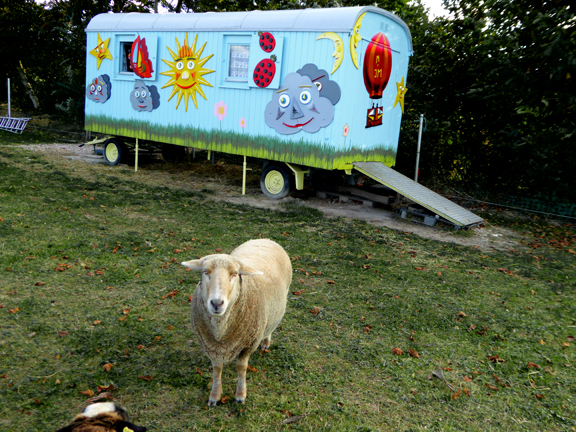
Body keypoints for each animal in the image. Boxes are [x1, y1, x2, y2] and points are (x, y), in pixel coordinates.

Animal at [181, 238, 292, 406]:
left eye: (234, 274)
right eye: (206, 272)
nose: (216, 303)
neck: (220, 332)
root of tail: (264, 239)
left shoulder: (249, 344)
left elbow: (241, 367)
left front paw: (240, 394)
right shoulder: (211, 347)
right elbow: (217, 369)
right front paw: (215, 395)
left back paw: (266, 342)